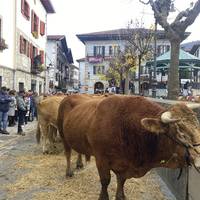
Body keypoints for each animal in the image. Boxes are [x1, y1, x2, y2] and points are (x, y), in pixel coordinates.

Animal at [57, 95, 200, 200]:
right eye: (181, 133)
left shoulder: (124, 165)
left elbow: (121, 182)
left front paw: (121, 196)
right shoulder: (101, 159)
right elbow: (105, 181)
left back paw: (79, 164)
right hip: (63, 135)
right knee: (68, 153)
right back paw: (69, 172)